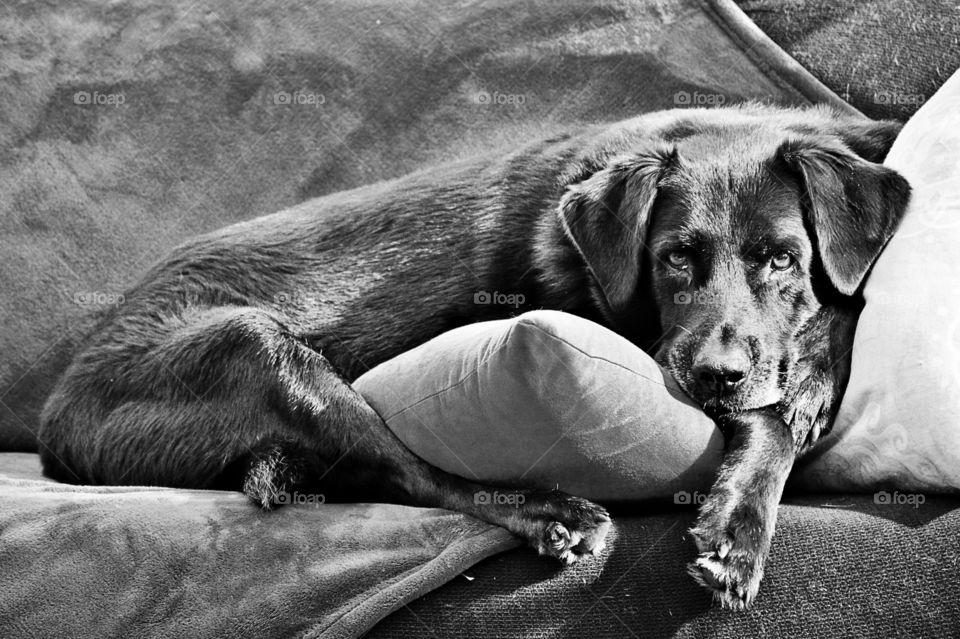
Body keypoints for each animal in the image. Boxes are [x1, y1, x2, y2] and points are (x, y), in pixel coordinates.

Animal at [37, 104, 908, 608]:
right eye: (674, 259)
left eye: (784, 259)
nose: (714, 379)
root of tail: (51, 419)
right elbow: (773, 406)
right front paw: (743, 518)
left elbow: (823, 331)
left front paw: (806, 382)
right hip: (257, 348)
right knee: (415, 475)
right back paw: (554, 514)